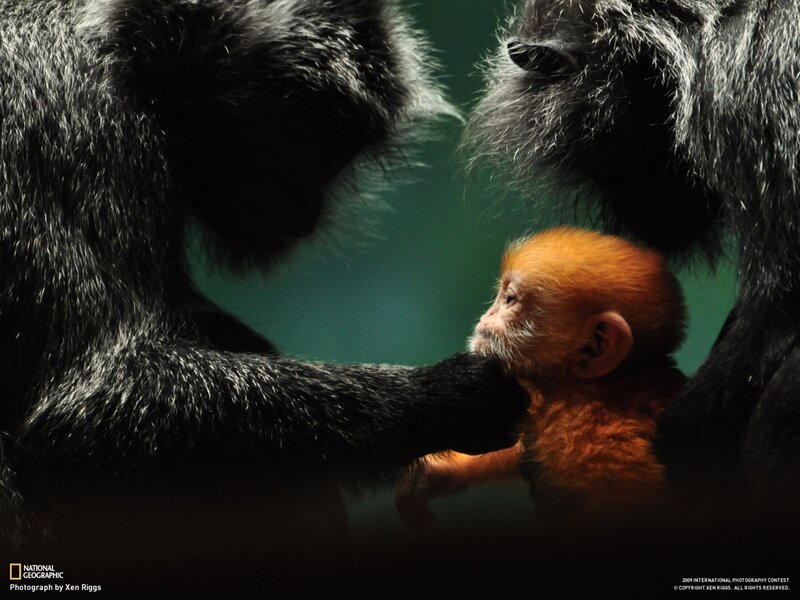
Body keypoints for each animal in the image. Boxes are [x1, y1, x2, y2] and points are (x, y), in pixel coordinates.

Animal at [0, 0, 529, 577]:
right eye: (295, 134)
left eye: (339, 148)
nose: (306, 209)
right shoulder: (73, 112)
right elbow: (84, 413)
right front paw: (441, 395)